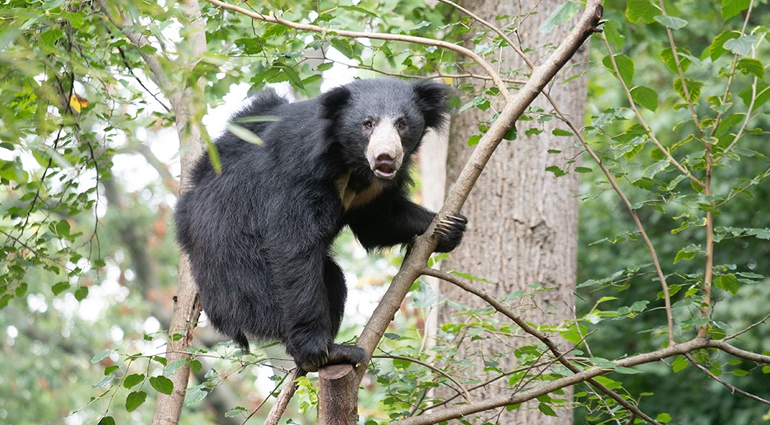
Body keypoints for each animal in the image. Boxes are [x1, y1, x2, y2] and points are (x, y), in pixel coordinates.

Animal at [174, 78, 467, 372]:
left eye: (402, 124)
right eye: (368, 124)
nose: (385, 158)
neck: (351, 163)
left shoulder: (371, 192)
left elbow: (377, 220)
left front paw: (450, 226)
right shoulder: (300, 175)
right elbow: (292, 243)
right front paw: (314, 349)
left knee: (333, 279)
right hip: (236, 262)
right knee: (271, 293)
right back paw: (328, 353)